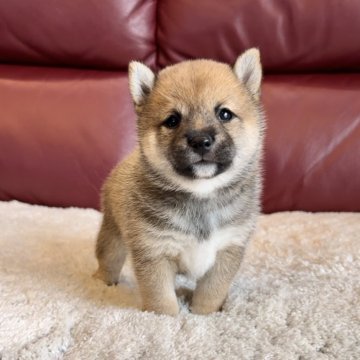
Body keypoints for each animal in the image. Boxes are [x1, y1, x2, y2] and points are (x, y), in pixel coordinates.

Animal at [95, 48, 264, 316]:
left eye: (224, 114)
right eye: (173, 120)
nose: (200, 140)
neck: (201, 194)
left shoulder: (228, 249)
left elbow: (211, 293)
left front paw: (205, 314)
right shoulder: (153, 251)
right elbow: (161, 299)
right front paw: (166, 318)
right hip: (113, 236)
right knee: (108, 260)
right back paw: (102, 282)